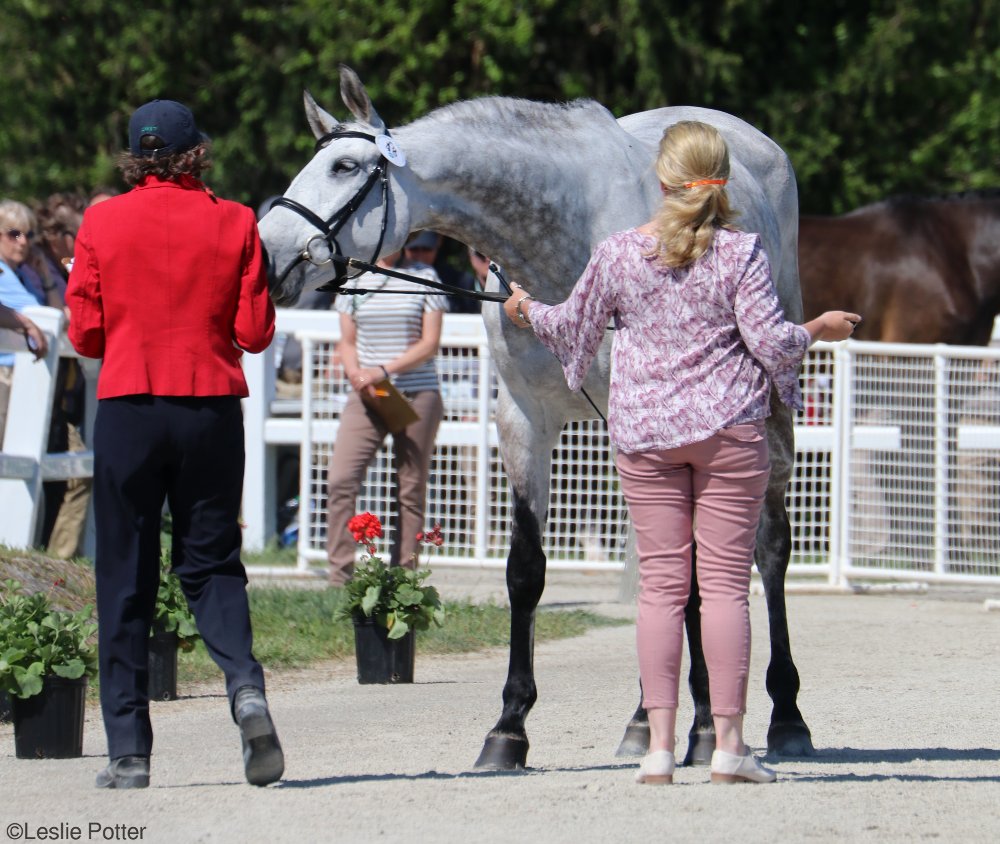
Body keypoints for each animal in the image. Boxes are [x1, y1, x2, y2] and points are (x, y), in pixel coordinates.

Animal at [258, 64, 812, 764]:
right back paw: (643, 718)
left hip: (769, 410)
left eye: (346, 166)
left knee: (769, 549)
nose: (266, 255)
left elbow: (693, 574)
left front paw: (708, 727)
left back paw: (786, 714)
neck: (563, 240)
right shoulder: (523, 421)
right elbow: (527, 571)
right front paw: (509, 727)